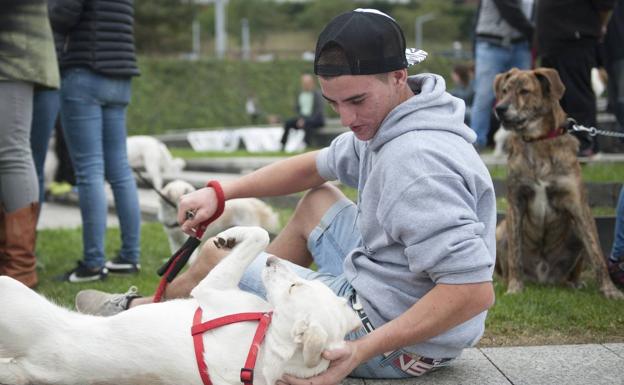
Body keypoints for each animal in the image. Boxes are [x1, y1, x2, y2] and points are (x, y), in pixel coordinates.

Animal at [0, 225, 360, 384]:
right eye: (306, 283)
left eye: (296, 285)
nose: (272, 262)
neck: (268, 344)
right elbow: (260, 233)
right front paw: (230, 234)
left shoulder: (211, 291)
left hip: (11, 296)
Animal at [492, 67, 624, 298]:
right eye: (505, 90)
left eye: (524, 91)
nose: (499, 109)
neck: (538, 141)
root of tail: (542, 279)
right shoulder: (516, 201)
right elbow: (515, 253)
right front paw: (515, 288)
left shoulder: (578, 206)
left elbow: (597, 254)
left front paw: (610, 291)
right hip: (501, 229)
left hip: (575, 232)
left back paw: (574, 284)